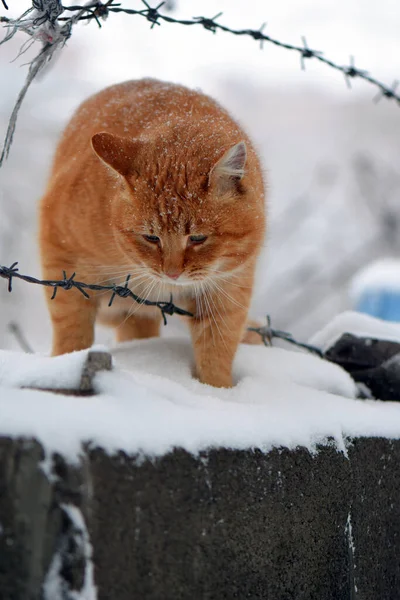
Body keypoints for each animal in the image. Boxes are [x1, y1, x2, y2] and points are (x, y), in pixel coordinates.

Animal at [39, 78, 266, 390]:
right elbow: (72, 331)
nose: (172, 273)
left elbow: (217, 351)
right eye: (151, 238)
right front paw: (66, 366)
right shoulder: (63, 261)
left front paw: (217, 393)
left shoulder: (228, 289)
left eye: (197, 239)